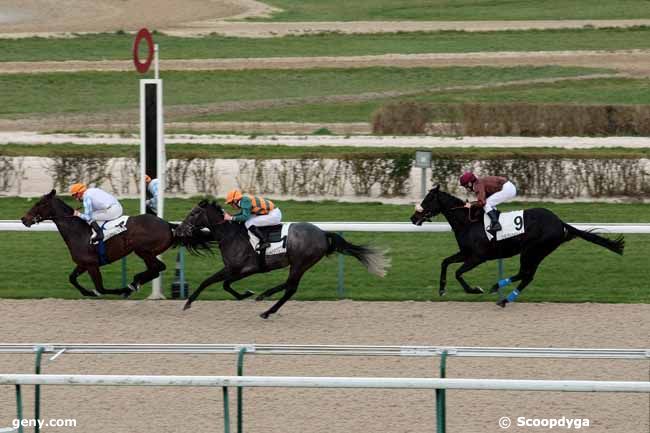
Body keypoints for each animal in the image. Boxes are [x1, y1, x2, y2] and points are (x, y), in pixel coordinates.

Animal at [20, 190, 177, 296]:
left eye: (39, 203)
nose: (23, 219)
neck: (79, 232)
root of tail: (167, 224)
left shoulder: (92, 265)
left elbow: (101, 288)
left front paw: (119, 290)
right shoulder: (83, 264)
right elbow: (72, 278)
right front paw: (87, 292)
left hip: (143, 251)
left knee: (158, 267)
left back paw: (133, 284)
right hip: (146, 253)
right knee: (155, 270)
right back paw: (135, 282)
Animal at [172, 200, 388, 318]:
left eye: (193, 213)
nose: (179, 229)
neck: (230, 235)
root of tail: (322, 233)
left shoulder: (239, 268)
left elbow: (210, 281)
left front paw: (188, 302)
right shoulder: (240, 270)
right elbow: (223, 284)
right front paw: (246, 294)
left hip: (300, 262)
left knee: (291, 287)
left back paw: (267, 307)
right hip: (299, 264)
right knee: (289, 285)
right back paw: (265, 298)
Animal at [410, 184, 624, 306]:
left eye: (428, 200)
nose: (413, 218)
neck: (468, 222)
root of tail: (559, 222)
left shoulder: (478, 257)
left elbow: (458, 272)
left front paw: (475, 290)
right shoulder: (466, 253)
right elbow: (445, 262)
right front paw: (441, 289)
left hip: (532, 250)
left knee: (525, 274)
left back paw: (500, 290)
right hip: (538, 252)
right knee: (527, 276)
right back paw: (503, 295)